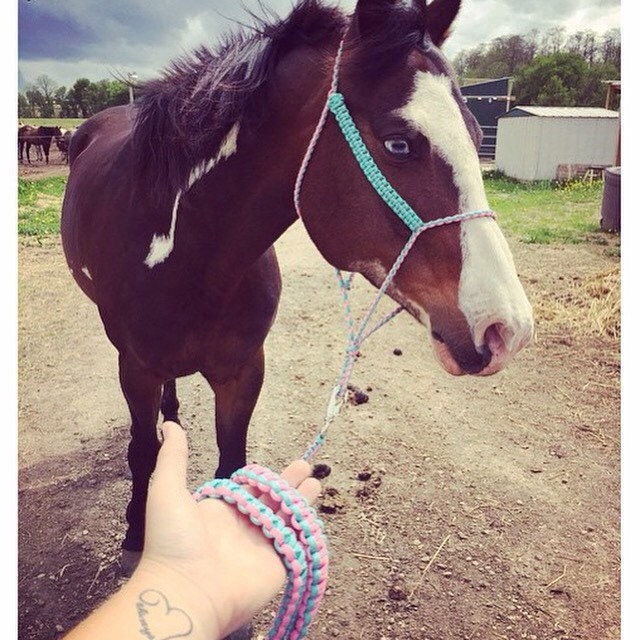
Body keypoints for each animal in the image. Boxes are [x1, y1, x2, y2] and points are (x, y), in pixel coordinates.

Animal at [61, 0, 534, 576]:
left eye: (475, 135)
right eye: (400, 143)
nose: (507, 328)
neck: (191, 261)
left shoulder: (243, 371)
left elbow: (231, 461)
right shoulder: (136, 368)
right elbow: (142, 452)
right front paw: (134, 533)